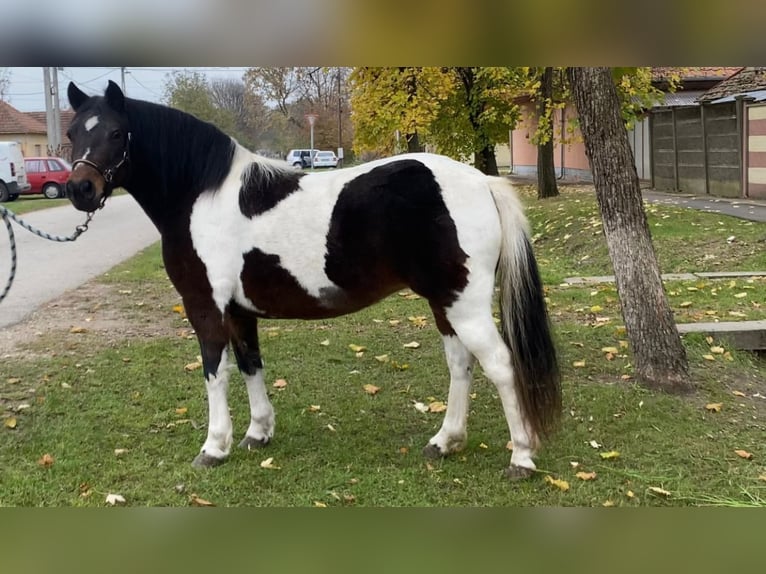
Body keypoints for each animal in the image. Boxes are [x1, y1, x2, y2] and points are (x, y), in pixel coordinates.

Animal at [66, 79, 560, 480]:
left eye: (115, 132)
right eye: (73, 134)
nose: (79, 190)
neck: (201, 195)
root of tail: (482, 182)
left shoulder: (206, 308)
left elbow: (214, 373)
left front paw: (214, 447)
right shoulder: (240, 313)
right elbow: (250, 365)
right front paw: (258, 433)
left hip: (466, 304)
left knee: (500, 364)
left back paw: (521, 458)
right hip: (445, 302)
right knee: (461, 364)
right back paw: (445, 441)